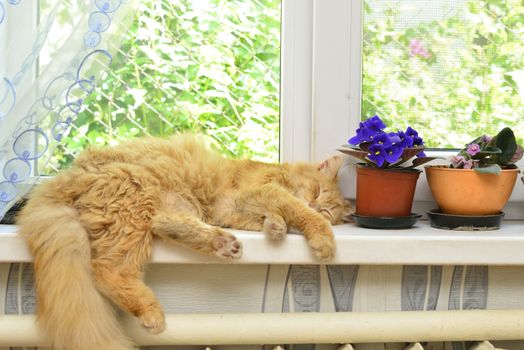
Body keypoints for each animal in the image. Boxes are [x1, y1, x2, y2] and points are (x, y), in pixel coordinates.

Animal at [16, 134, 352, 350]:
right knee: (107, 270)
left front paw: (276, 228)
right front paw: (320, 237)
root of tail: (64, 177)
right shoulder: (257, 193)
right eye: (318, 193)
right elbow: (295, 210)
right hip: (138, 199)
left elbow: (272, 219)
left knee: (165, 225)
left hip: (169, 204)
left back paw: (224, 244)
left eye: (326, 206)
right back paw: (152, 313)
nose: (314, 203)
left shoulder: (233, 209)